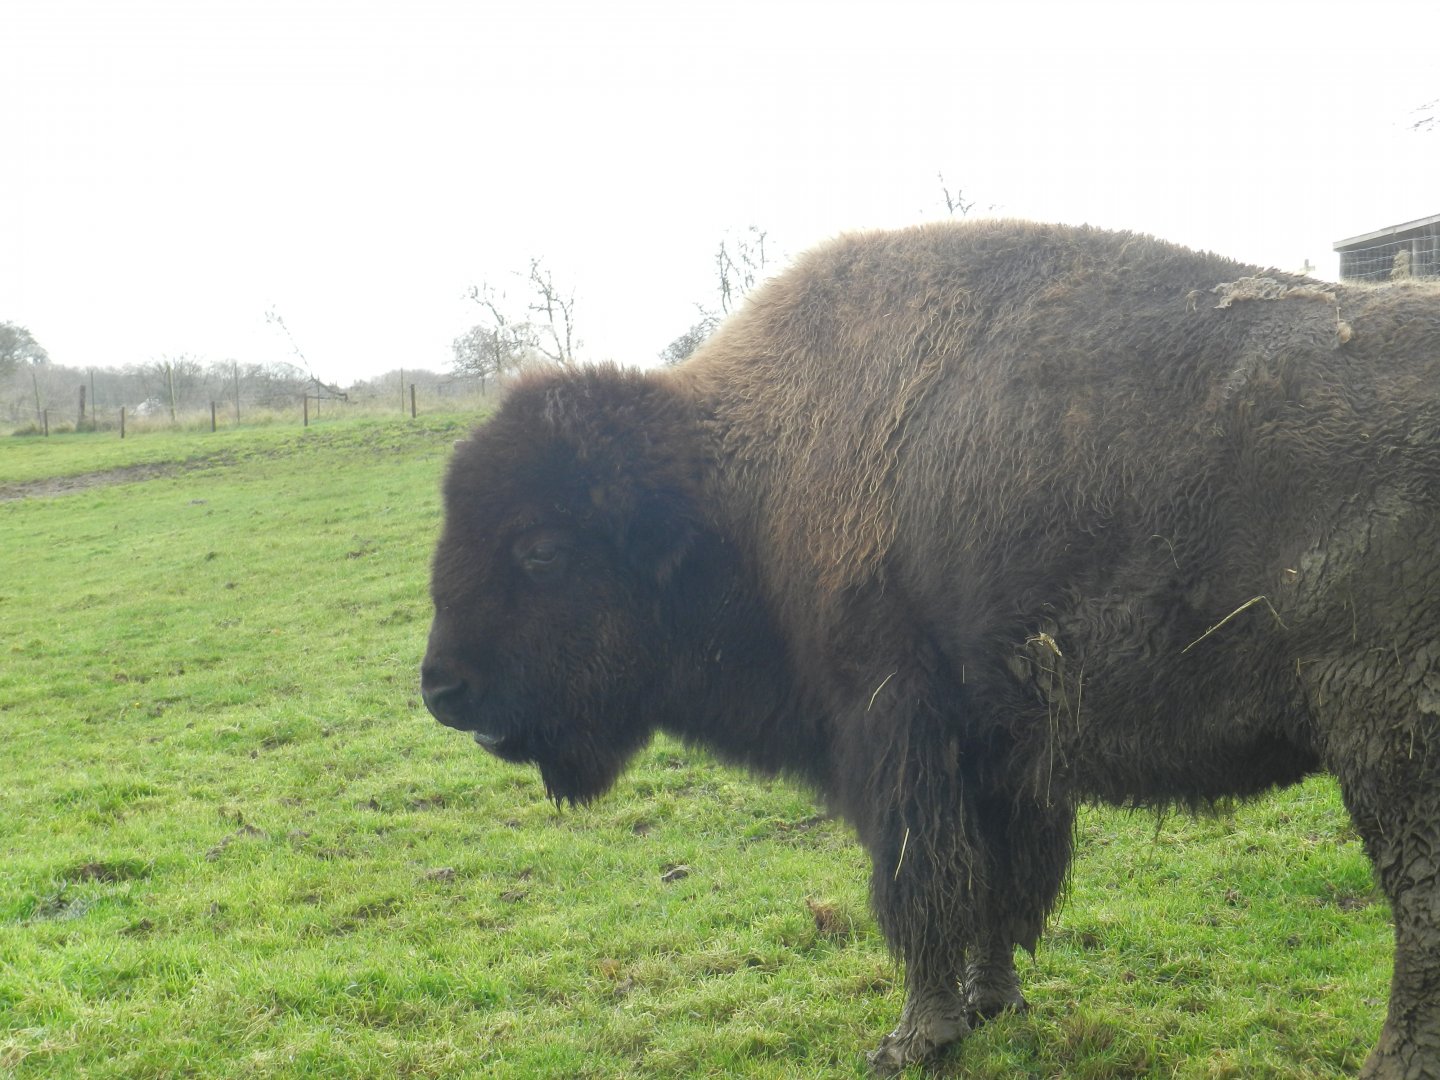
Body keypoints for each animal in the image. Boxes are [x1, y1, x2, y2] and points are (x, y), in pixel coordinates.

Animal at [422, 220, 1440, 1076]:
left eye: (540, 550)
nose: (441, 689)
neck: (736, 484)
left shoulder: (896, 735)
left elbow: (922, 888)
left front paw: (913, 1041)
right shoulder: (999, 754)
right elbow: (995, 885)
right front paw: (994, 1004)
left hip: (1386, 752)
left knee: (1418, 913)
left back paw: (1392, 1064)